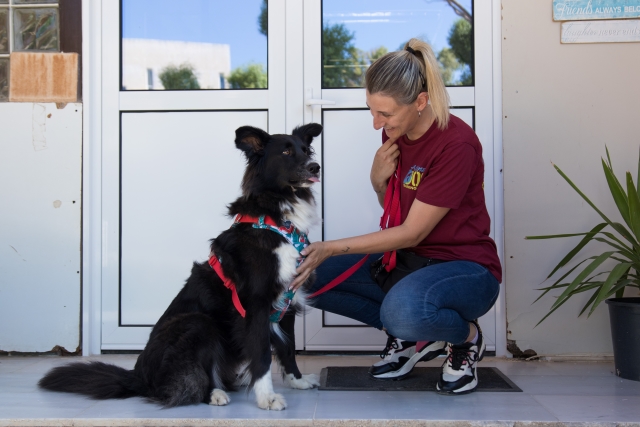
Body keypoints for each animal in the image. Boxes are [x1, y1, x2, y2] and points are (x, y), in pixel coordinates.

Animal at [37, 123, 322, 412]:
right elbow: (262, 354)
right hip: (197, 322)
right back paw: (214, 393)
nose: (315, 167)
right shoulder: (256, 304)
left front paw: (297, 381)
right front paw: (267, 397)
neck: (277, 214)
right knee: (187, 380)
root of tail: (139, 375)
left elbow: (288, 348)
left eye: (306, 149)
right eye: (286, 151)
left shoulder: (287, 300)